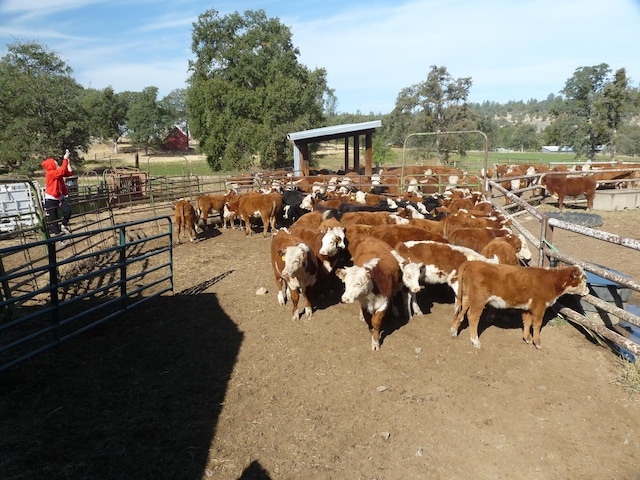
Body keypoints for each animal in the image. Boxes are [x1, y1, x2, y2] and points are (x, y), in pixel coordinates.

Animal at [448, 262, 588, 348]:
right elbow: (537, 324)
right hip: (478, 300)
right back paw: (475, 341)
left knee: (460, 311)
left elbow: (527, 322)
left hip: (466, 297)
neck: (551, 281)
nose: (588, 291)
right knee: (472, 316)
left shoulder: (527, 307)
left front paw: (527, 338)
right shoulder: (539, 306)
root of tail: (474, 262)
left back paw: (454, 331)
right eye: (583, 279)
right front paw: (537, 343)